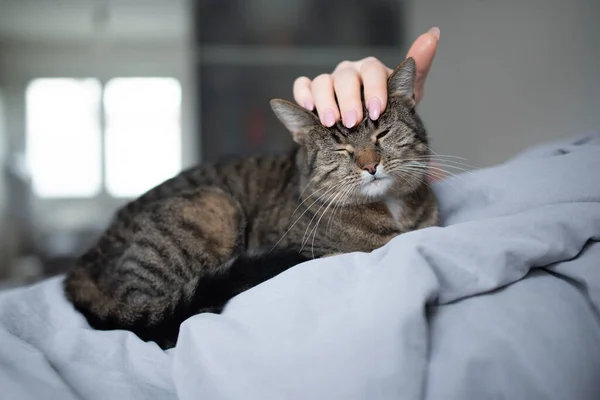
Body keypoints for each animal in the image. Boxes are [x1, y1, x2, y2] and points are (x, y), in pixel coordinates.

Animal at [65, 57, 438, 348]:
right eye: (340, 148)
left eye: (382, 134)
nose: (370, 165)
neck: (392, 210)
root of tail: (84, 261)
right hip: (213, 207)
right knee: (153, 316)